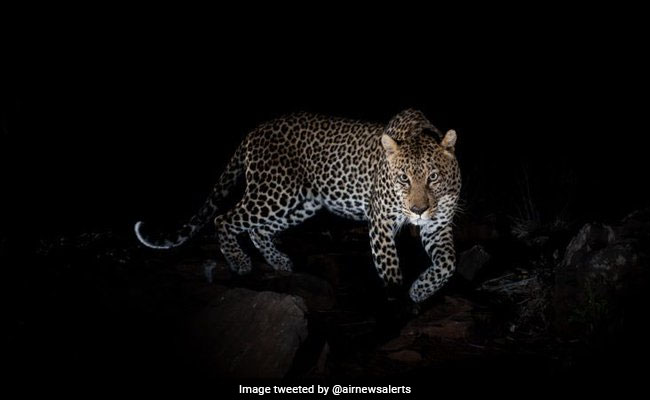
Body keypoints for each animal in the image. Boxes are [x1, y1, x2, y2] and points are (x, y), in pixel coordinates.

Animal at [134, 109, 461, 303]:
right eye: (403, 179)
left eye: (432, 176)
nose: (418, 210)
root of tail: (253, 132)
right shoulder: (380, 222)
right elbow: (390, 269)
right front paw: (397, 299)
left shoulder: (437, 224)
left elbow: (447, 263)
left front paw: (420, 290)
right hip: (274, 192)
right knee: (225, 218)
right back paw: (240, 263)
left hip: (301, 203)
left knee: (258, 229)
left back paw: (280, 261)